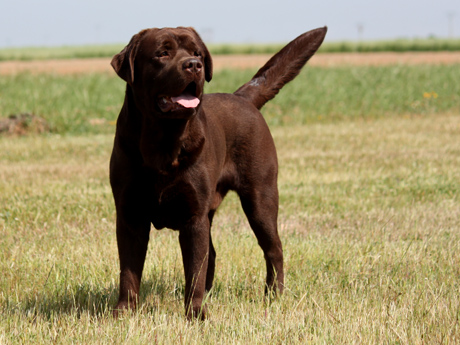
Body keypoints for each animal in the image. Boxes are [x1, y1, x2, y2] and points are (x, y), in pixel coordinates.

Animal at [110, 25, 328, 318]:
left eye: (197, 52)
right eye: (162, 53)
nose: (194, 65)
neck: (163, 143)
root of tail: (241, 97)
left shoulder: (193, 216)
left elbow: (194, 269)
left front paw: (195, 313)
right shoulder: (130, 214)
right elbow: (129, 270)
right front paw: (124, 311)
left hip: (260, 197)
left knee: (273, 249)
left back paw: (273, 295)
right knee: (212, 254)